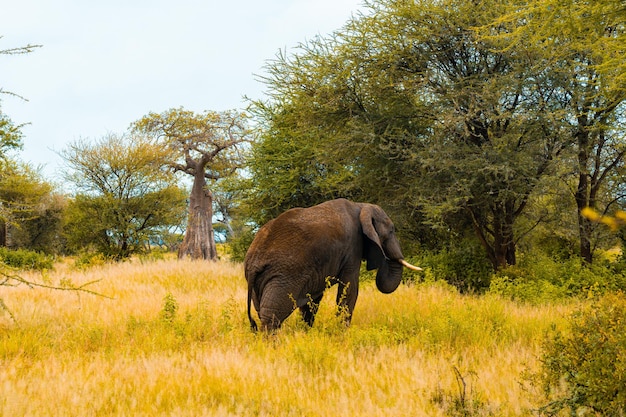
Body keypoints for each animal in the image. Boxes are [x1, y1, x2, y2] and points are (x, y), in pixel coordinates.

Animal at [244, 197, 420, 330]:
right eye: (392, 230)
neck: (361, 206)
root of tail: (253, 262)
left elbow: (312, 300)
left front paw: (307, 332)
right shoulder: (353, 247)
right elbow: (349, 289)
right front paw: (343, 333)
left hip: (261, 281)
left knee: (262, 312)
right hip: (283, 276)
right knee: (271, 316)